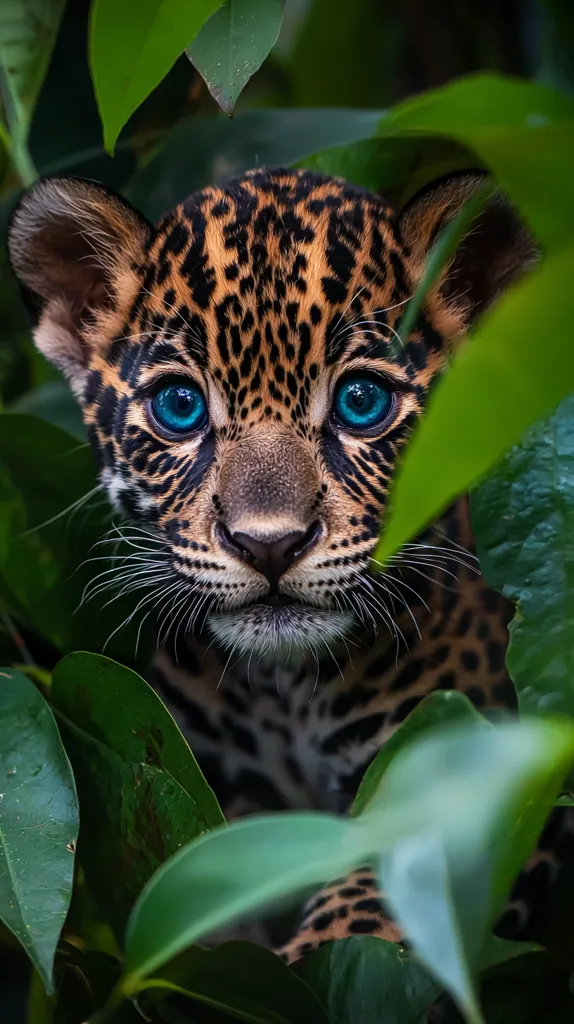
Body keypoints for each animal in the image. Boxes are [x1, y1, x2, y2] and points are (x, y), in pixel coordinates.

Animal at [8, 166, 570, 971]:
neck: (284, 694)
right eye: (179, 406)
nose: (268, 544)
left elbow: (365, 927)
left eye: (361, 401)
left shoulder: (475, 771)